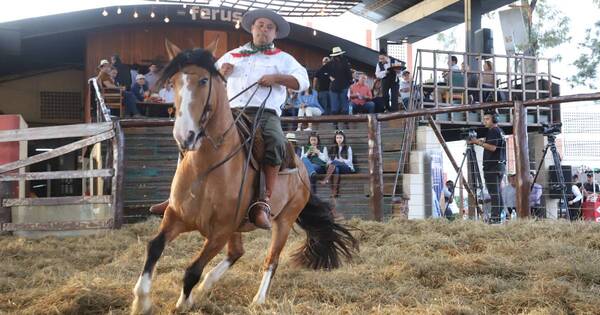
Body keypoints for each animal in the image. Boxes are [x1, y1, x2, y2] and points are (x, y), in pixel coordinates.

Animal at [130, 40, 356, 314]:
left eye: (204, 80)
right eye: (173, 82)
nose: (185, 136)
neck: (206, 168)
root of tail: (302, 171)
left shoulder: (221, 231)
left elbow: (192, 270)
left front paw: (183, 303)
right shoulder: (176, 216)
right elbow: (154, 247)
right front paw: (141, 301)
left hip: (283, 221)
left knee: (271, 260)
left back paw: (258, 299)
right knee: (236, 252)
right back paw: (206, 287)